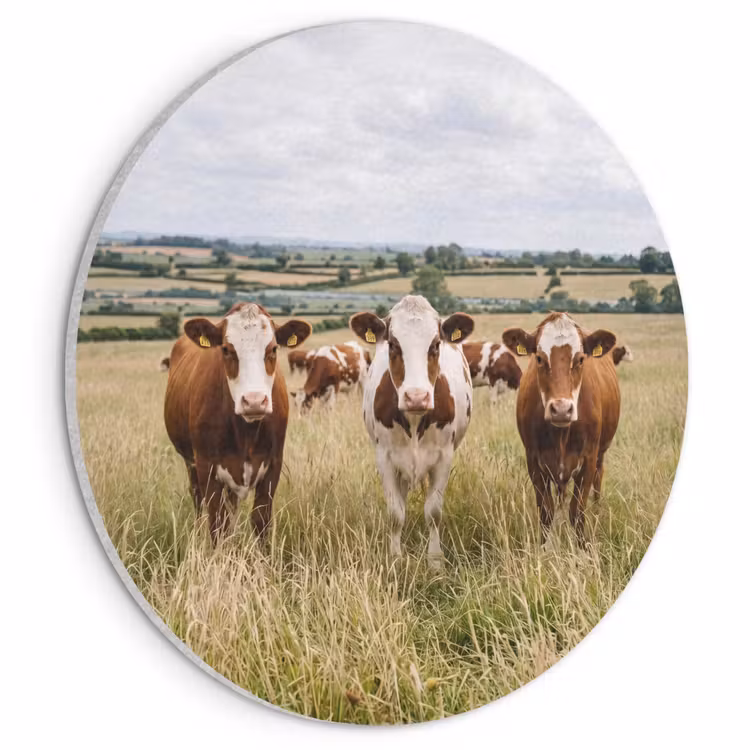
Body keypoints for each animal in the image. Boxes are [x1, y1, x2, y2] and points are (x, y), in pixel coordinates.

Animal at [163, 302, 311, 542]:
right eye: (225, 349)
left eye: (273, 349)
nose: (254, 401)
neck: (245, 433)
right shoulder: (207, 466)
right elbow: (217, 524)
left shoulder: (273, 465)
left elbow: (261, 521)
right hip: (190, 463)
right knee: (197, 500)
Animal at [350, 295, 474, 568]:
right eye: (393, 345)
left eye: (436, 344)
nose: (416, 397)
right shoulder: (385, 457)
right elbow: (395, 512)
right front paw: (395, 558)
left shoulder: (444, 456)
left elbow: (433, 512)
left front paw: (435, 561)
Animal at [502, 312, 620, 545]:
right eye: (539, 358)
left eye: (581, 359)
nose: (561, 409)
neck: (561, 435)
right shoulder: (534, 461)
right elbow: (546, 511)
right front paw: (544, 547)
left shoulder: (588, 459)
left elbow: (577, 511)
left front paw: (583, 547)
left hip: (601, 453)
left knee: (599, 478)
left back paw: (597, 510)